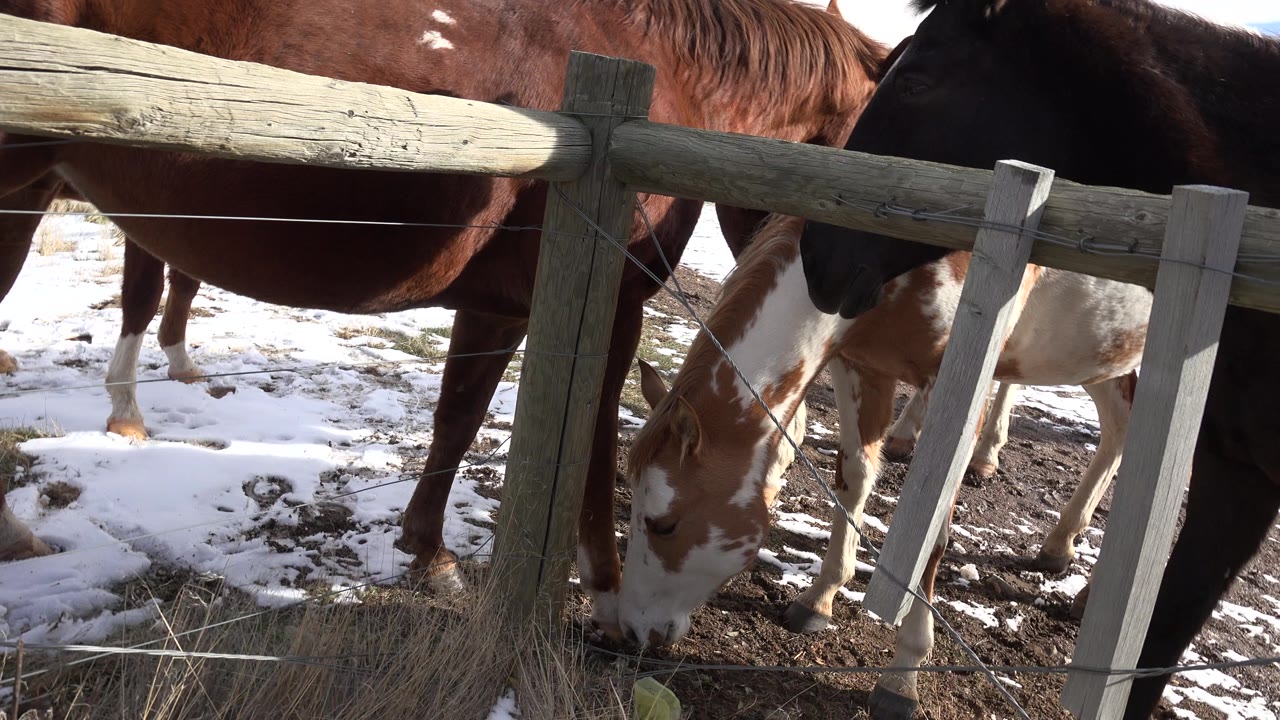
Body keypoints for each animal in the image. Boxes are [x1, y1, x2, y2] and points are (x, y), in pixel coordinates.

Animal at [0, 0, 888, 634]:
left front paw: (426, 551)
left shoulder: (493, 309)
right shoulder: (608, 313)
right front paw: (605, 593)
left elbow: (457, 420)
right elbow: (594, 445)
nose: (858, 286)